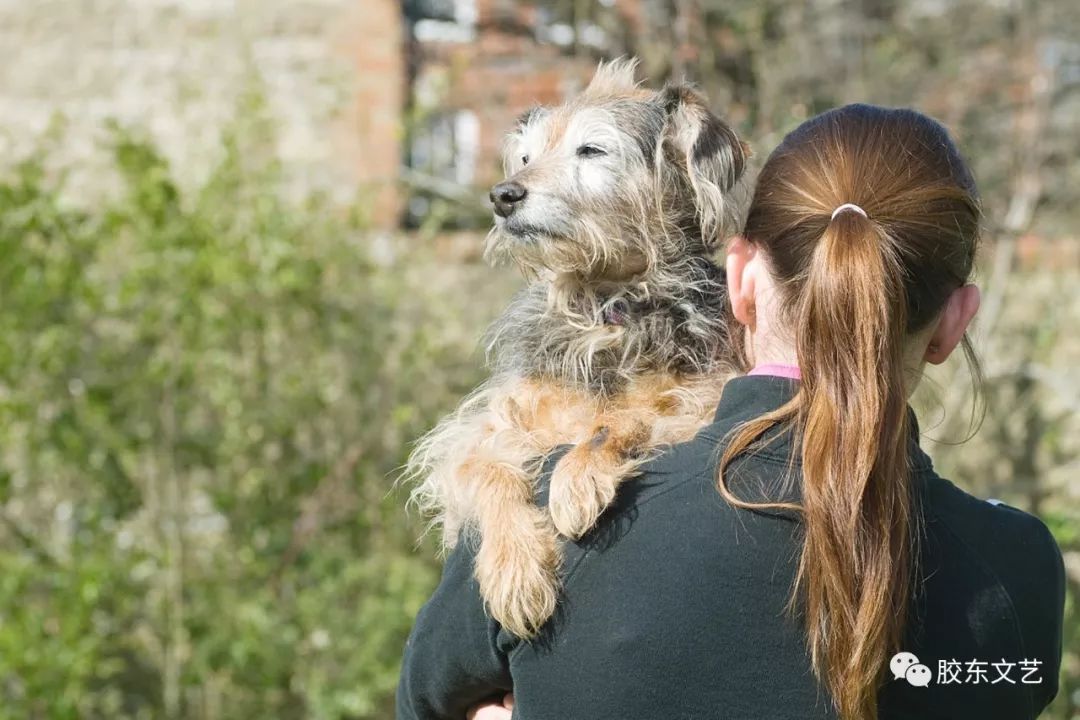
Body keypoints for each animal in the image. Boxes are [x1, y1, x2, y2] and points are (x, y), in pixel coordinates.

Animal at [401, 59, 747, 639]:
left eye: (591, 150)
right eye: (525, 157)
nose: (502, 194)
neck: (602, 308)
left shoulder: (707, 395)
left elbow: (622, 418)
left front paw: (578, 478)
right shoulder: (475, 433)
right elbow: (488, 469)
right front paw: (515, 568)